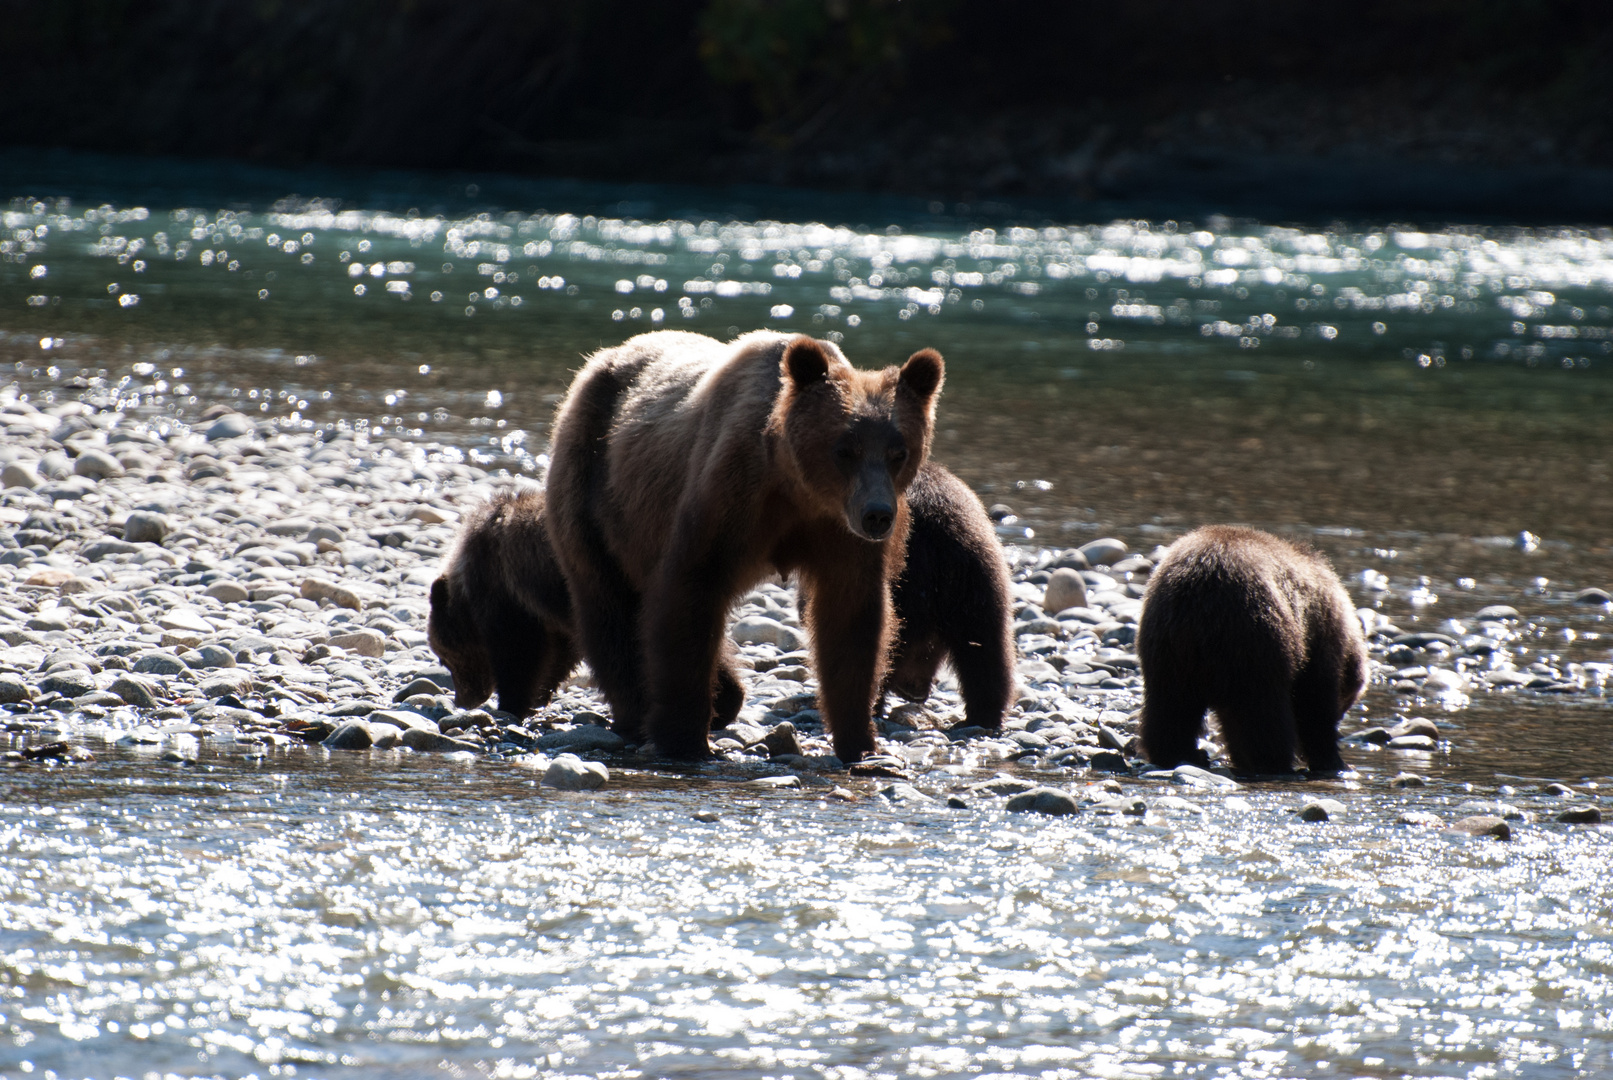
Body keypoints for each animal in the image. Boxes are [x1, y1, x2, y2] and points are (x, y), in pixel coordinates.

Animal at [425, 490, 745, 728]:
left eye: (443, 658)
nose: (463, 700)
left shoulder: (505, 588)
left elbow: (518, 650)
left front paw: (511, 703)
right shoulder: (548, 606)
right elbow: (559, 652)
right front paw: (539, 695)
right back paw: (724, 702)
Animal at [545, 330, 941, 760]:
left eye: (898, 452)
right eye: (845, 449)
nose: (877, 515)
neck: (797, 488)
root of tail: (600, 359)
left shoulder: (840, 535)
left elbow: (850, 619)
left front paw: (860, 741)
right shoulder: (732, 497)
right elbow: (690, 593)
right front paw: (682, 738)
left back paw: (722, 694)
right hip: (595, 486)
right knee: (606, 603)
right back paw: (640, 711)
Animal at [1135, 525, 1361, 773]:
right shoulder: (1319, 635)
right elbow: (1314, 701)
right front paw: (1333, 760)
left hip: (1167, 646)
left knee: (1170, 706)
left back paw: (1181, 753)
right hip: (1254, 635)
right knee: (1260, 712)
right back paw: (1270, 761)